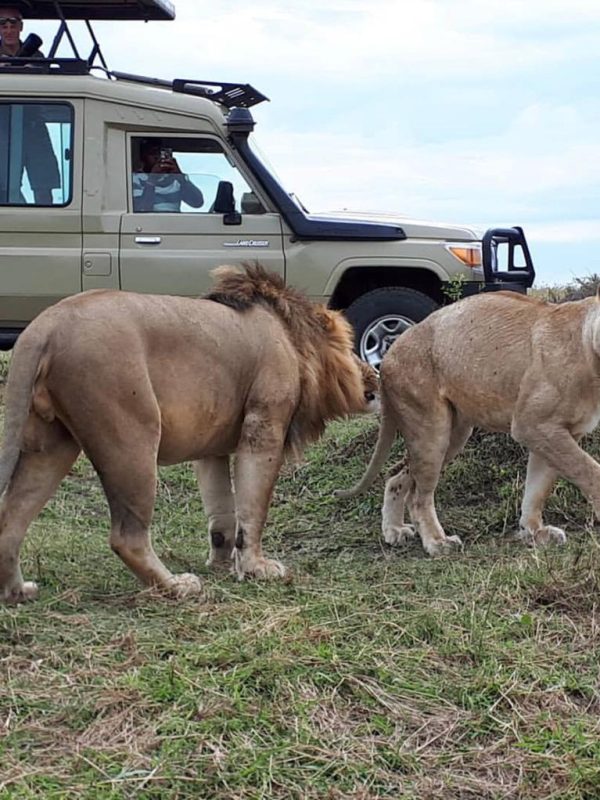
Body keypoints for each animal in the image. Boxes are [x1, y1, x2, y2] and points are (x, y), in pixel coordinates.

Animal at [0, 264, 378, 603]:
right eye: (351, 349)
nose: (374, 374)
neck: (290, 337)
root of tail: (44, 326)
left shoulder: (211, 448)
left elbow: (222, 510)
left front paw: (222, 563)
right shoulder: (264, 427)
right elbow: (253, 507)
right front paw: (256, 568)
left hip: (51, 445)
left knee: (11, 519)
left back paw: (18, 592)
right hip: (132, 438)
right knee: (126, 536)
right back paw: (177, 587)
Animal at [335, 290, 600, 556]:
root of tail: (388, 355)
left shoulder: (557, 432)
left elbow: (538, 486)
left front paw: (535, 532)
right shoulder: (531, 424)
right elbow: (587, 469)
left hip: (455, 433)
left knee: (396, 474)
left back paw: (394, 530)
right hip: (431, 428)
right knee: (418, 495)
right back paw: (437, 542)